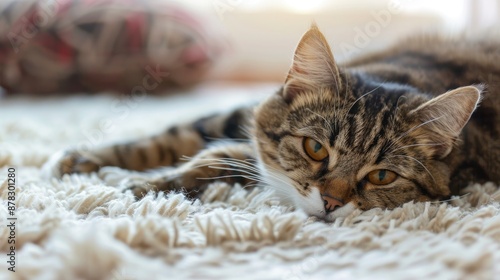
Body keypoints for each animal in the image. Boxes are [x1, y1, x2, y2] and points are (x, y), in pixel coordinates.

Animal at [44, 24, 500, 221]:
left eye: (382, 176)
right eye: (315, 148)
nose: (331, 203)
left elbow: (215, 160)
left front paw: (152, 184)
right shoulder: (238, 116)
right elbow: (177, 136)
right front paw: (90, 162)